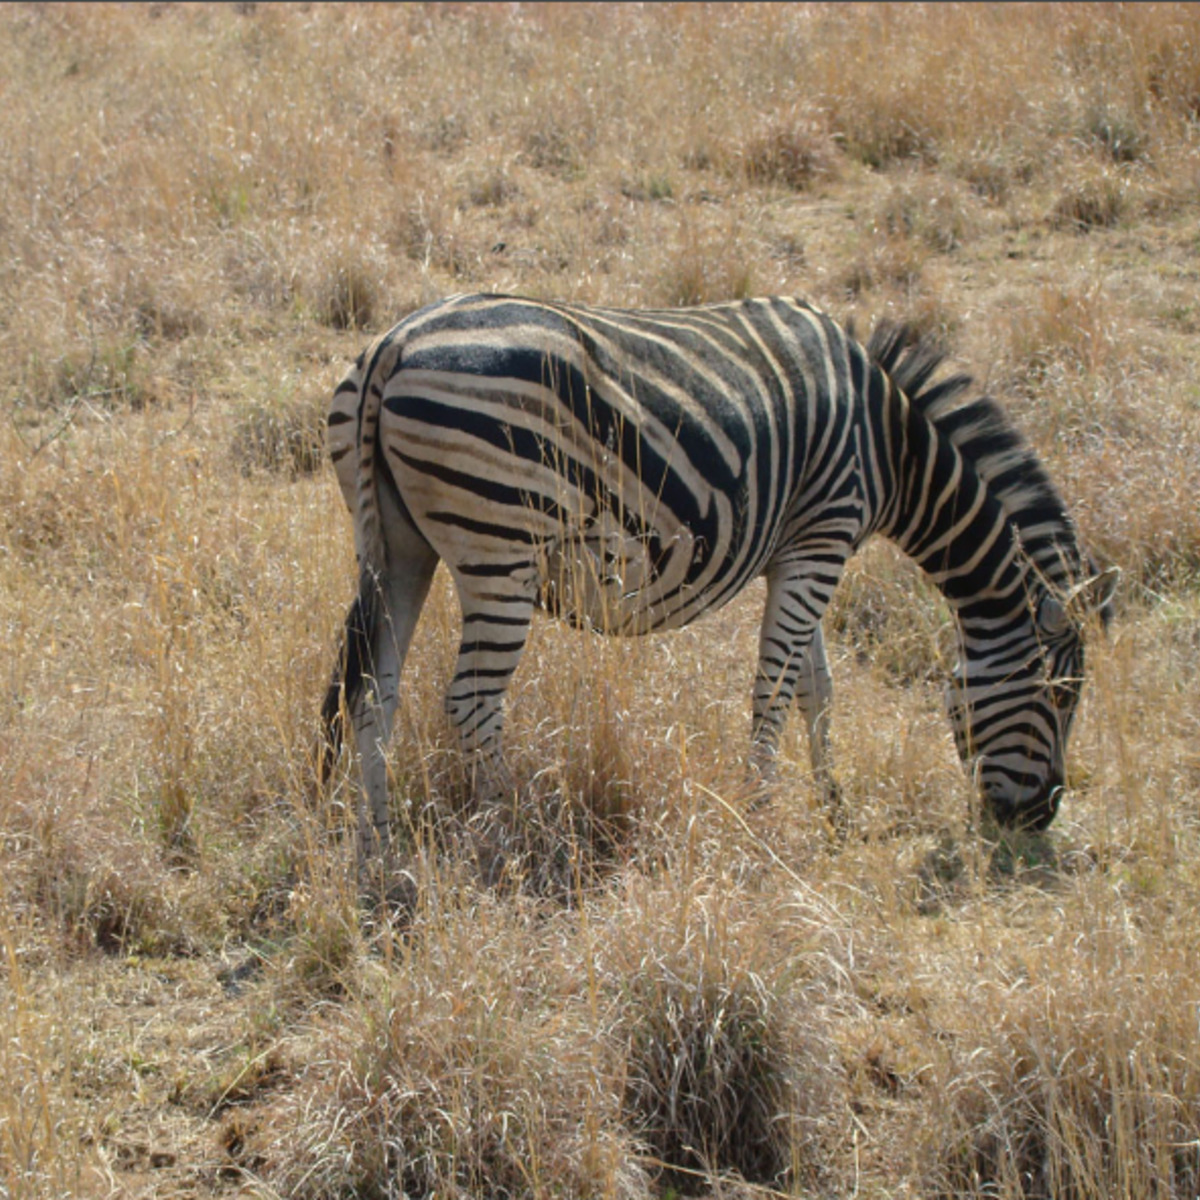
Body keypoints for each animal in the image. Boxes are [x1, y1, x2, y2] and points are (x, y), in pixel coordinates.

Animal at [319, 294, 1113, 864]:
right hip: (499, 547)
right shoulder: (822, 538)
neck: (894, 447)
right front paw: (761, 813)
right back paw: (510, 831)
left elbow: (818, 688)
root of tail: (394, 345)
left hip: (397, 548)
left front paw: (833, 805)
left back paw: (378, 842)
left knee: (374, 694)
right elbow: (775, 690)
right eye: (1060, 695)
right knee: (473, 703)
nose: (1039, 817)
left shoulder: (802, 550)